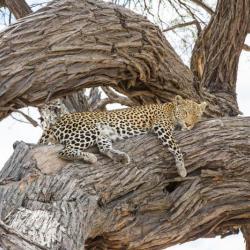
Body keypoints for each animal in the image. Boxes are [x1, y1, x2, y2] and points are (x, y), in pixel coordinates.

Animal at [39, 95, 207, 178]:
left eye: (196, 116)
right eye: (185, 112)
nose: (189, 124)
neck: (171, 109)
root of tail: (56, 122)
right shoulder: (162, 127)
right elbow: (176, 148)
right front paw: (182, 168)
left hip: (102, 133)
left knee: (103, 148)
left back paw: (121, 157)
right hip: (89, 129)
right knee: (63, 151)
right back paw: (90, 157)